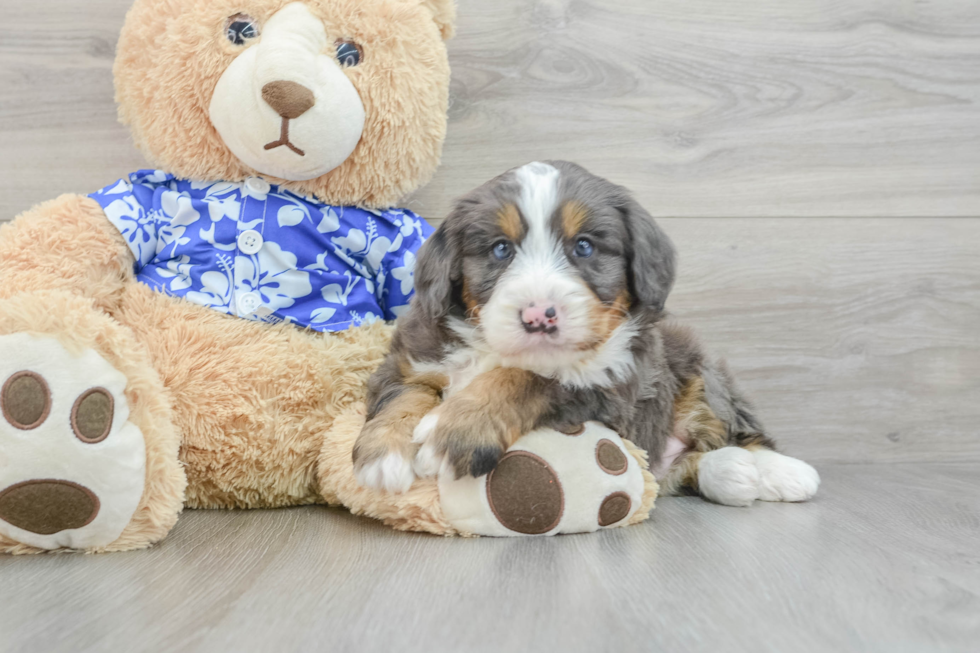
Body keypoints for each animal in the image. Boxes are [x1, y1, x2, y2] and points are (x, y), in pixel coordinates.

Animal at [352, 160, 820, 506]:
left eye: (584, 246)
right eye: (501, 249)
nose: (539, 316)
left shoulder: (609, 386)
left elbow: (526, 378)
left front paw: (456, 431)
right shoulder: (411, 356)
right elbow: (405, 395)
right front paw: (384, 454)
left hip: (697, 365)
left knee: (736, 429)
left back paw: (781, 471)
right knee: (680, 470)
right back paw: (732, 472)